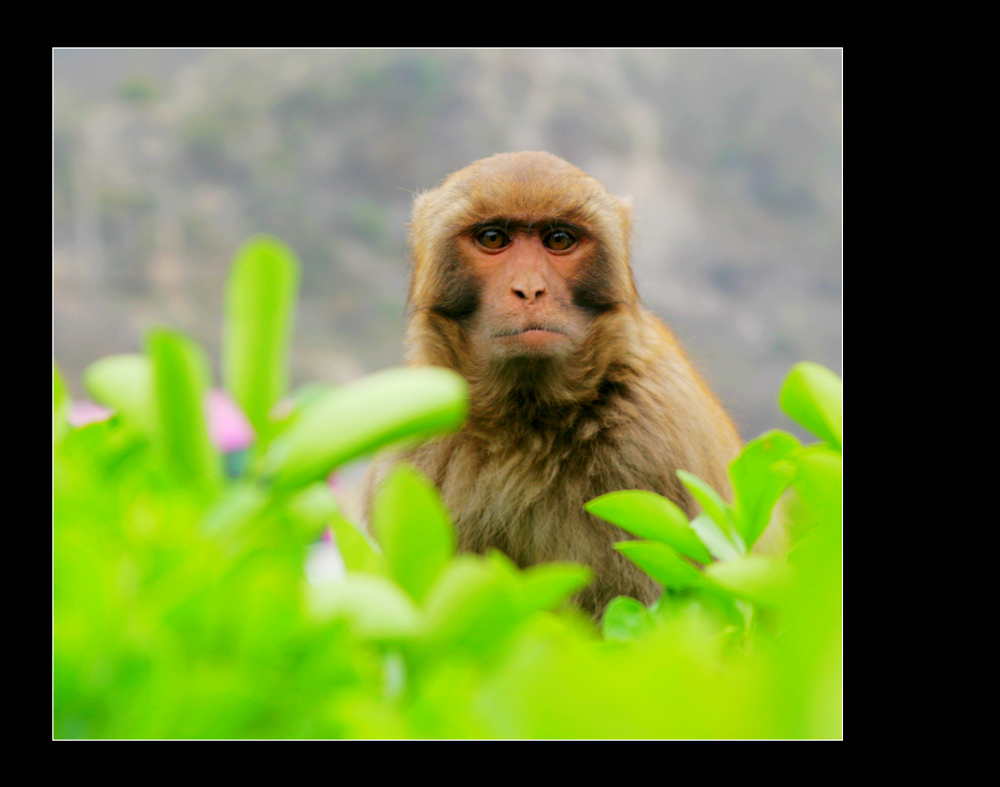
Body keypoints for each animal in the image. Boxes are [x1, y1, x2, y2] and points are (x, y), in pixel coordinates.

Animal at [368, 152, 756, 620]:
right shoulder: (412, 458)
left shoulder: (653, 456)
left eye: (558, 240)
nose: (530, 289)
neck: (526, 420)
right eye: (493, 238)